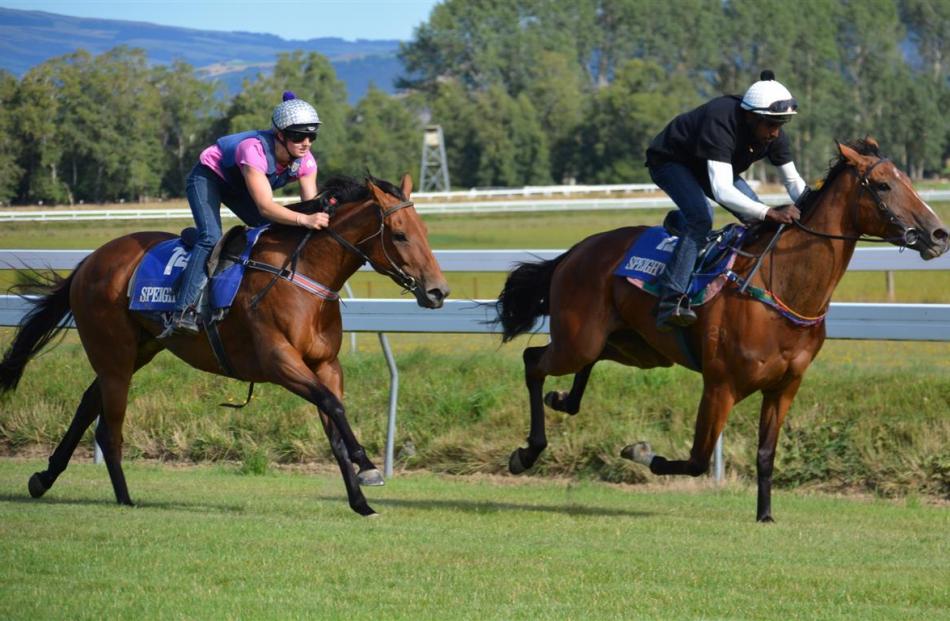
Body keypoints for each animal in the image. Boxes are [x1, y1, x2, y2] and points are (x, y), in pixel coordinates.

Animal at [0, 173, 452, 512]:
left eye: (426, 231)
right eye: (399, 235)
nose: (438, 291)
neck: (303, 275)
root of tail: (89, 262)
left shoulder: (325, 364)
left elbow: (333, 421)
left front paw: (360, 500)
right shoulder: (278, 361)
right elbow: (333, 406)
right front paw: (368, 465)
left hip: (137, 350)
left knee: (87, 403)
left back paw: (43, 479)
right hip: (113, 352)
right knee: (108, 428)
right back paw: (124, 498)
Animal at [498, 139, 950, 520]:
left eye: (910, 181)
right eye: (883, 185)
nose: (938, 234)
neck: (783, 283)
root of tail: (575, 251)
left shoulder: (784, 386)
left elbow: (765, 453)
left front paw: (765, 515)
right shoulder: (720, 384)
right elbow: (698, 459)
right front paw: (640, 451)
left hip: (634, 347)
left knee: (577, 366)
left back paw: (563, 399)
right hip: (580, 339)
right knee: (533, 361)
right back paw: (527, 452)